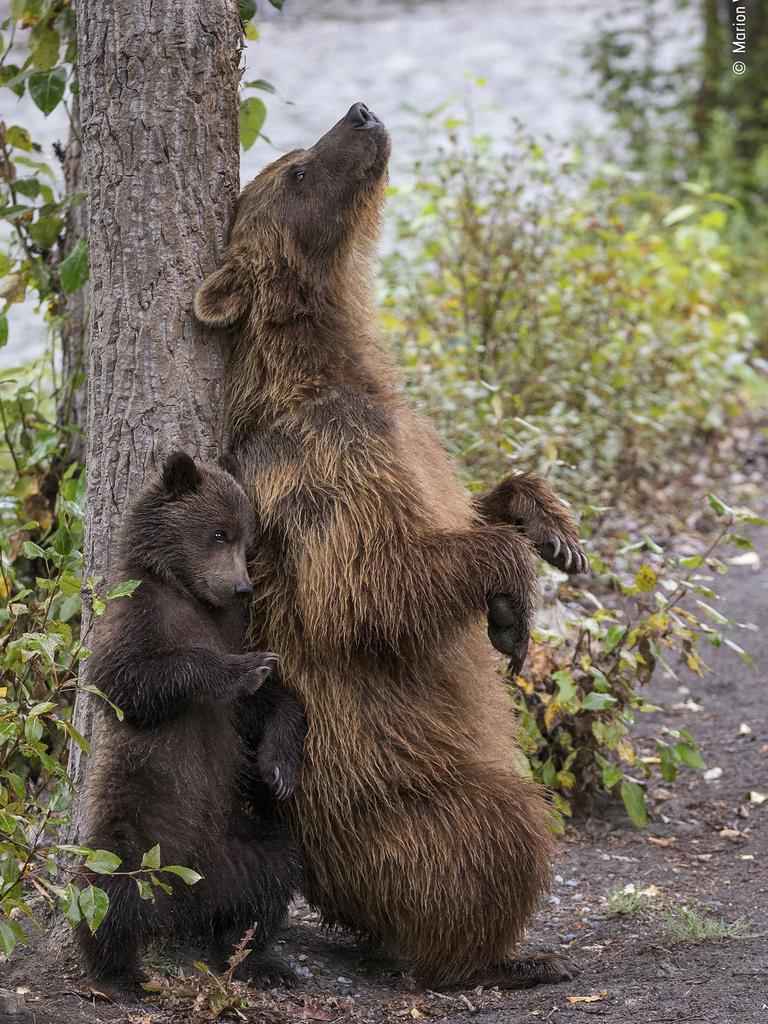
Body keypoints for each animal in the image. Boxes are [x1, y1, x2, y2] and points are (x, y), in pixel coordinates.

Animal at [76, 452, 305, 995]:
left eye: (248, 540)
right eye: (219, 534)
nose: (242, 586)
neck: (188, 593)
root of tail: (185, 893)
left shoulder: (232, 628)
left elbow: (265, 703)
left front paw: (279, 766)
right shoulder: (135, 614)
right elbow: (128, 679)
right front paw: (243, 670)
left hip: (237, 844)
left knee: (271, 877)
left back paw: (257, 959)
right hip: (137, 833)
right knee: (106, 890)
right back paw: (119, 972)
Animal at [195, 105, 585, 991]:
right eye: (299, 171)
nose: (362, 113)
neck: (332, 368)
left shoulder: (410, 438)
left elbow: (470, 503)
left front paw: (552, 531)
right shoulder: (322, 468)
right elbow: (369, 586)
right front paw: (511, 608)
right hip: (392, 796)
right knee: (501, 826)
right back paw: (503, 956)